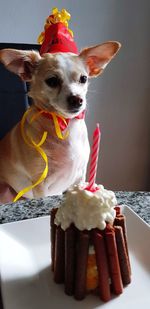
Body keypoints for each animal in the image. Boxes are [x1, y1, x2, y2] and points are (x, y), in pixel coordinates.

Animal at [0, 7, 120, 202]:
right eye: (52, 81)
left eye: (83, 79)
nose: (77, 99)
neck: (65, 125)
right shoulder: (40, 185)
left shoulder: (79, 177)